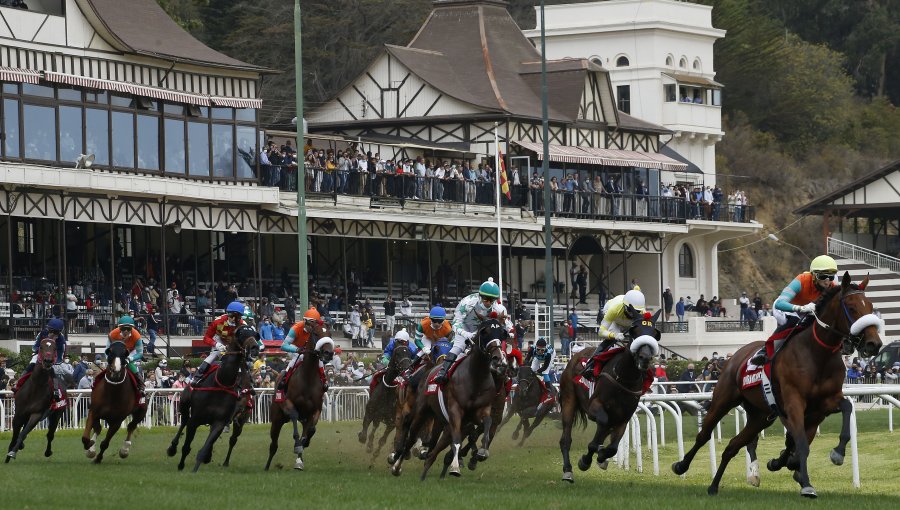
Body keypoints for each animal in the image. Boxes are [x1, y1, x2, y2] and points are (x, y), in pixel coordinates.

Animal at [166, 326, 260, 474]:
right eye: (241, 333)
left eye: (256, 335)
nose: (255, 347)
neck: (221, 383)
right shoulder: (195, 420)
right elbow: (186, 446)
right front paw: (181, 465)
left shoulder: (221, 421)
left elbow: (206, 447)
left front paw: (199, 464)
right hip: (184, 403)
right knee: (184, 421)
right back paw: (172, 448)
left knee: (232, 439)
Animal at [264, 336, 334, 472]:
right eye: (316, 335)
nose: (329, 353)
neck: (308, 378)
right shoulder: (288, 403)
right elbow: (294, 417)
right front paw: (297, 444)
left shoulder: (316, 409)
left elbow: (310, 430)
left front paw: (304, 444)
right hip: (277, 419)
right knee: (273, 444)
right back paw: (267, 466)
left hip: (303, 419)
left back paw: (299, 461)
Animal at [390, 316, 510, 480]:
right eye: (485, 332)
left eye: (502, 334)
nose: (499, 359)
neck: (476, 378)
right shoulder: (455, 411)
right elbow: (457, 440)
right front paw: (455, 466)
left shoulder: (482, 412)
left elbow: (486, 426)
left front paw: (481, 452)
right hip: (421, 412)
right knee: (411, 435)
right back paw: (397, 464)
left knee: (434, 445)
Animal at [556, 310, 660, 482]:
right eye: (634, 331)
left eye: (655, 334)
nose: (645, 358)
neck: (624, 379)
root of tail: (575, 357)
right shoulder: (594, 407)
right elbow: (598, 435)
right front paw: (585, 460)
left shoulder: (623, 418)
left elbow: (612, 448)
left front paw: (601, 457)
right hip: (569, 400)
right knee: (566, 438)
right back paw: (567, 471)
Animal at [672, 274, 884, 498]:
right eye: (851, 308)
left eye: (870, 306)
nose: (874, 344)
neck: (818, 354)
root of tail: (735, 356)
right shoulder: (794, 403)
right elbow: (801, 444)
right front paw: (806, 484)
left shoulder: (825, 403)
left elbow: (846, 409)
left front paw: (836, 453)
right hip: (723, 400)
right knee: (704, 435)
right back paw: (681, 466)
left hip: (760, 417)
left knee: (732, 446)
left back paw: (714, 486)